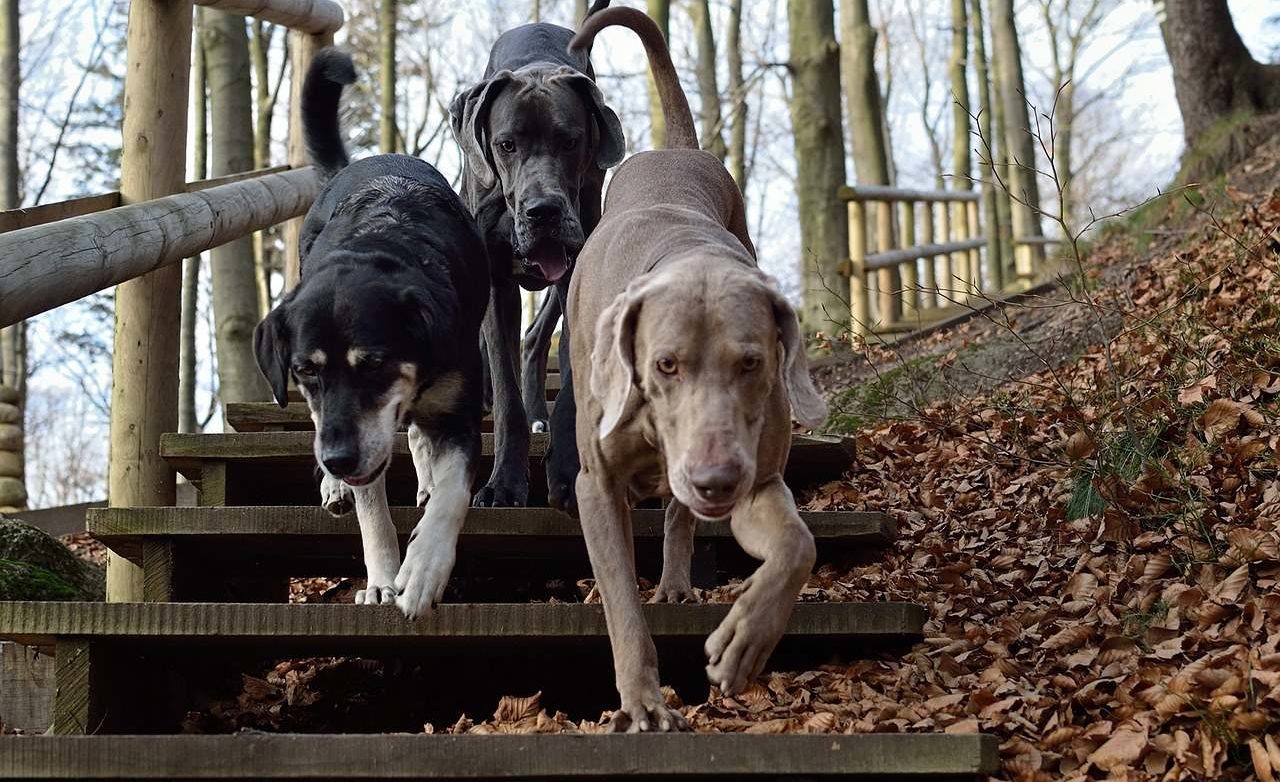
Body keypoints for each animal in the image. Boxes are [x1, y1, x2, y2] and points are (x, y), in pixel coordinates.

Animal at [254, 52, 488, 622]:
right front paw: (382, 581)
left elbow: (453, 494)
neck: (382, 242)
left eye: (376, 362)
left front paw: (424, 570)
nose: (337, 459)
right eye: (305, 370)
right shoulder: (355, 433)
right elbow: (372, 514)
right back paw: (337, 486)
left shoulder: (458, 410)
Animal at [450, 0, 624, 511]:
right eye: (506, 144)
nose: (542, 211)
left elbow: (571, 376)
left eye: (570, 141)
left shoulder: (574, 268)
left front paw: (566, 472)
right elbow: (505, 388)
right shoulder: (495, 281)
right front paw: (504, 484)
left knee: (536, 338)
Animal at [570, 7, 829, 732]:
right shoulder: (596, 484)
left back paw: (680, 583)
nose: (714, 479)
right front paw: (642, 701)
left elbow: (798, 545)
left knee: (681, 518)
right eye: (665, 365)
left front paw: (745, 640)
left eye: (753, 364)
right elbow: (620, 599)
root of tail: (675, 147)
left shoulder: (758, 478)